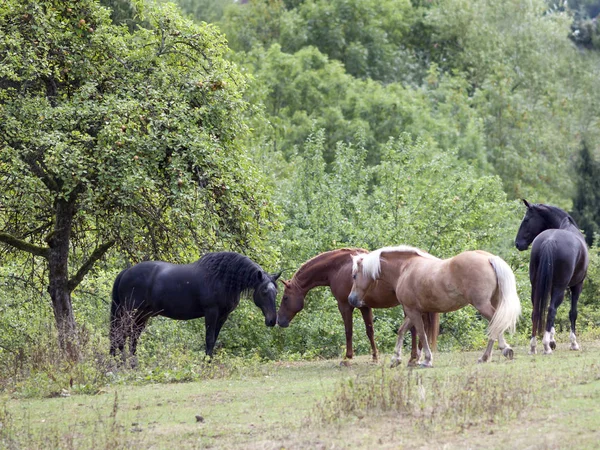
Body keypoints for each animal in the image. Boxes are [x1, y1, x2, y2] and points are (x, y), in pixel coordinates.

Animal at [110, 251, 282, 364]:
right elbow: (209, 339)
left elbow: (214, 339)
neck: (222, 278)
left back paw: (132, 365)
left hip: (142, 316)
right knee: (121, 336)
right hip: (131, 313)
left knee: (132, 338)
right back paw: (121, 364)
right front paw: (205, 364)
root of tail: (126, 272)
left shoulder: (223, 316)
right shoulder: (211, 312)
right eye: (264, 291)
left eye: (276, 291)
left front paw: (209, 362)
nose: (272, 320)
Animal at [274, 248, 438, 368]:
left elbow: (349, 331)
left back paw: (414, 358)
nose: (279, 321)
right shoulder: (364, 307)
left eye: (285, 298)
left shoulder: (345, 306)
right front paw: (375, 357)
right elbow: (370, 331)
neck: (337, 268)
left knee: (416, 329)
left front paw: (347, 358)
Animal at [346, 246, 520, 366]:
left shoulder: (412, 311)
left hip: (482, 305)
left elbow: (422, 334)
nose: (351, 299)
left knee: (495, 322)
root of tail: (489, 258)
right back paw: (486, 357)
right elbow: (402, 331)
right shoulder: (413, 311)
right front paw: (396, 358)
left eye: (354, 275)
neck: (405, 268)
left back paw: (502, 350)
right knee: (495, 324)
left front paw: (427, 360)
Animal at [512, 200, 588, 356]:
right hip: (561, 287)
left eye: (526, 219)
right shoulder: (577, 286)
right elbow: (572, 313)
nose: (517, 243)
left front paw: (553, 340)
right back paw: (546, 346)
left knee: (536, 310)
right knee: (552, 309)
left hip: (536, 286)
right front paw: (573, 343)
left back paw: (534, 346)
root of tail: (549, 241)